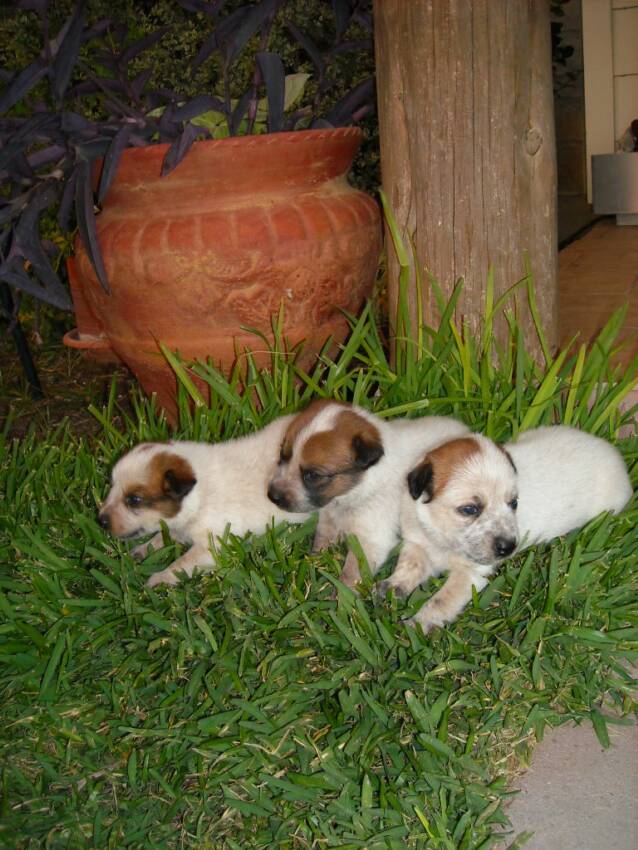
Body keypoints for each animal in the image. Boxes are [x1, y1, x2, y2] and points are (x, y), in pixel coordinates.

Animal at [97, 414, 310, 588]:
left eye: (134, 500)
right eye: (111, 486)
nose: (100, 521)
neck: (199, 495)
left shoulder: (212, 546)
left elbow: (181, 564)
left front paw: (159, 578)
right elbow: (162, 536)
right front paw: (143, 549)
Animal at [264, 396, 470, 584]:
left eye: (313, 475)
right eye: (282, 455)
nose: (273, 496)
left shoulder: (371, 539)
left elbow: (351, 573)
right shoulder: (329, 520)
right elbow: (322, 541)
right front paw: (315, 563)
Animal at [390, 424, 636, 628]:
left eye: (514, 503)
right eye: (469, 509)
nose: (509, 548)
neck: (442, 539)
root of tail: (615, 456)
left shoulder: (471, 574)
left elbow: (442, 600)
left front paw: (419, 623)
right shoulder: (416, 542)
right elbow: (408, 566)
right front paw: (391, 588)